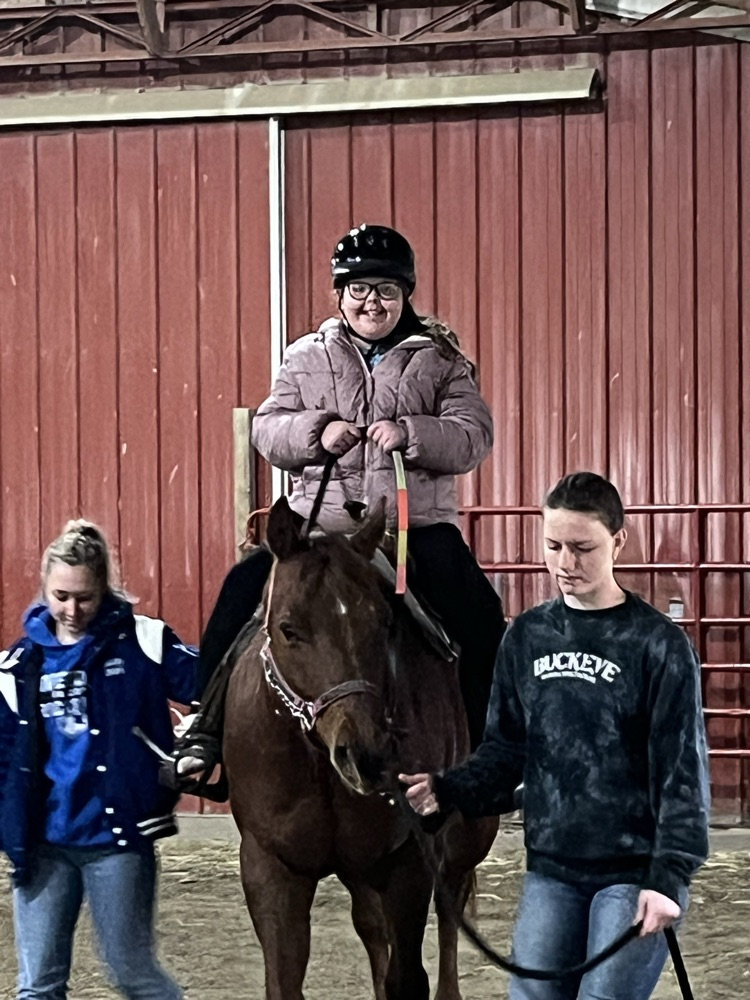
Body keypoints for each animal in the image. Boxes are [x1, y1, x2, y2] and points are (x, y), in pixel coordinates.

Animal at [224, 497, 499, 1000]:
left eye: (385, 622)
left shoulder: (407, 861)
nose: (364, 755)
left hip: (463, 840)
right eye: (289, 628)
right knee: (371, 926)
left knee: (450, 908)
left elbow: (408, 976)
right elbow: (285, 979)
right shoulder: (270, 867)